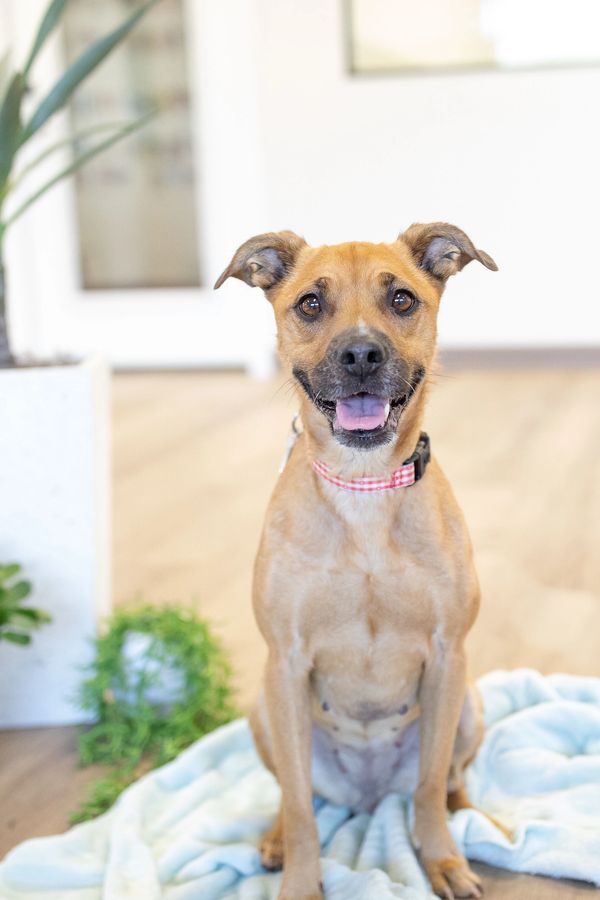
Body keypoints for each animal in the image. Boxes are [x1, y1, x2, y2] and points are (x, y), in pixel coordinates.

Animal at [217, 221, 502, 896]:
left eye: (401, 299)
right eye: (309, 304)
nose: (361, 356)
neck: (363, 488)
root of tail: (369, 803)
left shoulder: (449, 657)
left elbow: (429, 783)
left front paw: (443, 859)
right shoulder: (286, 664)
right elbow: (299, 806)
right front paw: (299, 880)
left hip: (469, 706)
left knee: (448, 780)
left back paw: (470, 821)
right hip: (264, 710)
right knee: (293, 794)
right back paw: (274, 838)